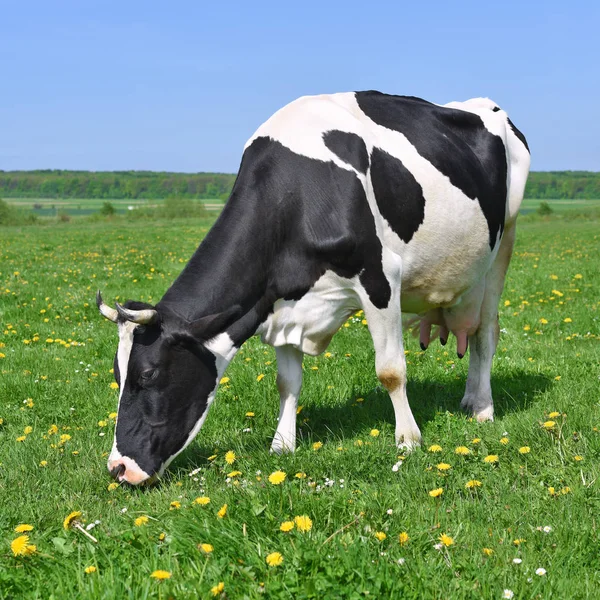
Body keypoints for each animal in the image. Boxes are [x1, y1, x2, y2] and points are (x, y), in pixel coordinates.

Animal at [97, 91, 528, 486]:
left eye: (149, 374)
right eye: (117, 376)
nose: (118, 468)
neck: (297, 192)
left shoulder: (380, 275)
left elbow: (391, 371)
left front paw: (408, 440)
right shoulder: (280, 300)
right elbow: (287, 382)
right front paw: (282, 445)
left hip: (504, 242)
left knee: (485, 334)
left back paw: (483, 408)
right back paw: (469, 398)